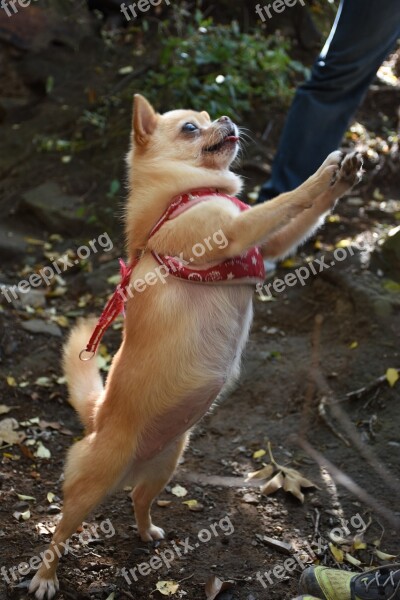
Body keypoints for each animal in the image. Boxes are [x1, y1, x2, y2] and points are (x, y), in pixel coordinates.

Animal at [28, 96, 362, 596]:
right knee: (61, 530)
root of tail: (97, 415)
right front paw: (324, 172)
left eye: (208, 119)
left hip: (166, 465)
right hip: (90, 485)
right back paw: (45, 577)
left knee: (138, 499)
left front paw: (346, 176)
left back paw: (147, 532)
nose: (224, 118)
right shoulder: (238, 233)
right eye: (190, 127)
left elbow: (304, 213)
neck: (190, 191)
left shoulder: (271, 246)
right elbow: (288, 198)